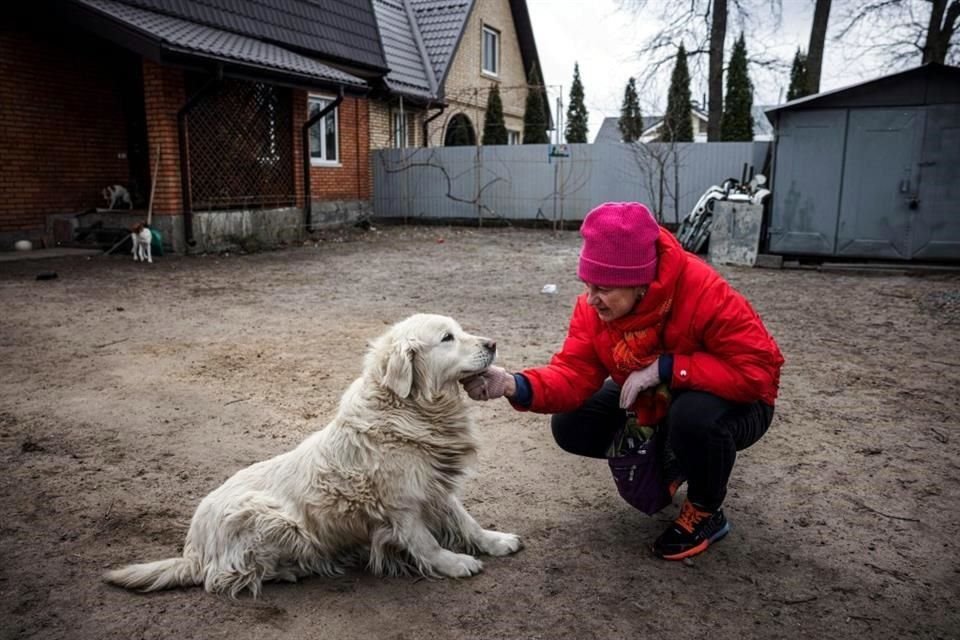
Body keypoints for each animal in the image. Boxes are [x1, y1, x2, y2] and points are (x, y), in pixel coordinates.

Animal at [105, 316, 520, 600]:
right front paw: (455, 563)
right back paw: (289, 570)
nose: (493, 343)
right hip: (270, 516)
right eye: (447, 338)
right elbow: (427, 544)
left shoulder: (435, 487)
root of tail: (193, 549)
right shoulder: (402, 505)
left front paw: (495, 541)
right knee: (222, 577)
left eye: (460, 329)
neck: (411, 410)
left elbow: (467, 521)